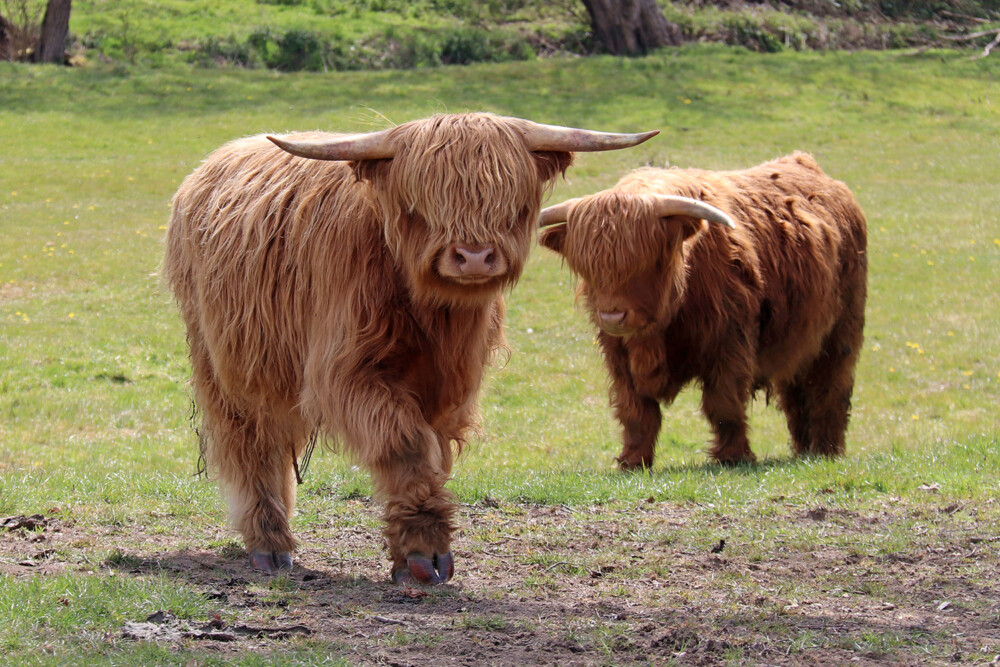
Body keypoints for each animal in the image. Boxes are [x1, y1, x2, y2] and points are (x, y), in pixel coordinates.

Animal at [164, 112, 656, 583]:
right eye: (420, 206)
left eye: (513, 204)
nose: (474, 257)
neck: (431, 314)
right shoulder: (345, 372)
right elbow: (404, 443)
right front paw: (424, 550)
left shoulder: (449, 387)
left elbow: (433, 456)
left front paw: (412, 553)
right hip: (224, 365)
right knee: (250, 444)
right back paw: (269, 544)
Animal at [537, 152, 867, 469]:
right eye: (587, 267)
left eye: (649, 262)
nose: (612, 316)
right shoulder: (618, 354)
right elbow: (636, 411)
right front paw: (632, 461)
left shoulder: (729, 343)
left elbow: (723, 403)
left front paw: (733, 457)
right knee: (797, 394)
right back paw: (803, 451)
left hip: (841, 332)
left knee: (830, 389)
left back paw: (826, 451)